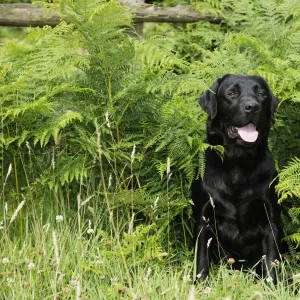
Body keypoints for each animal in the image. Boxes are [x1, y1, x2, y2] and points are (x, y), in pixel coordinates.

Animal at [192, 74, 284, 284]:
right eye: (231, 93)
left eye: (262, 94)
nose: (253, 106)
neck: (238, 164)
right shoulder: (203, 220)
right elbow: (201, 261)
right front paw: (200, 286)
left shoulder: (270, 221)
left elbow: (271, 263)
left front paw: (272, 287)